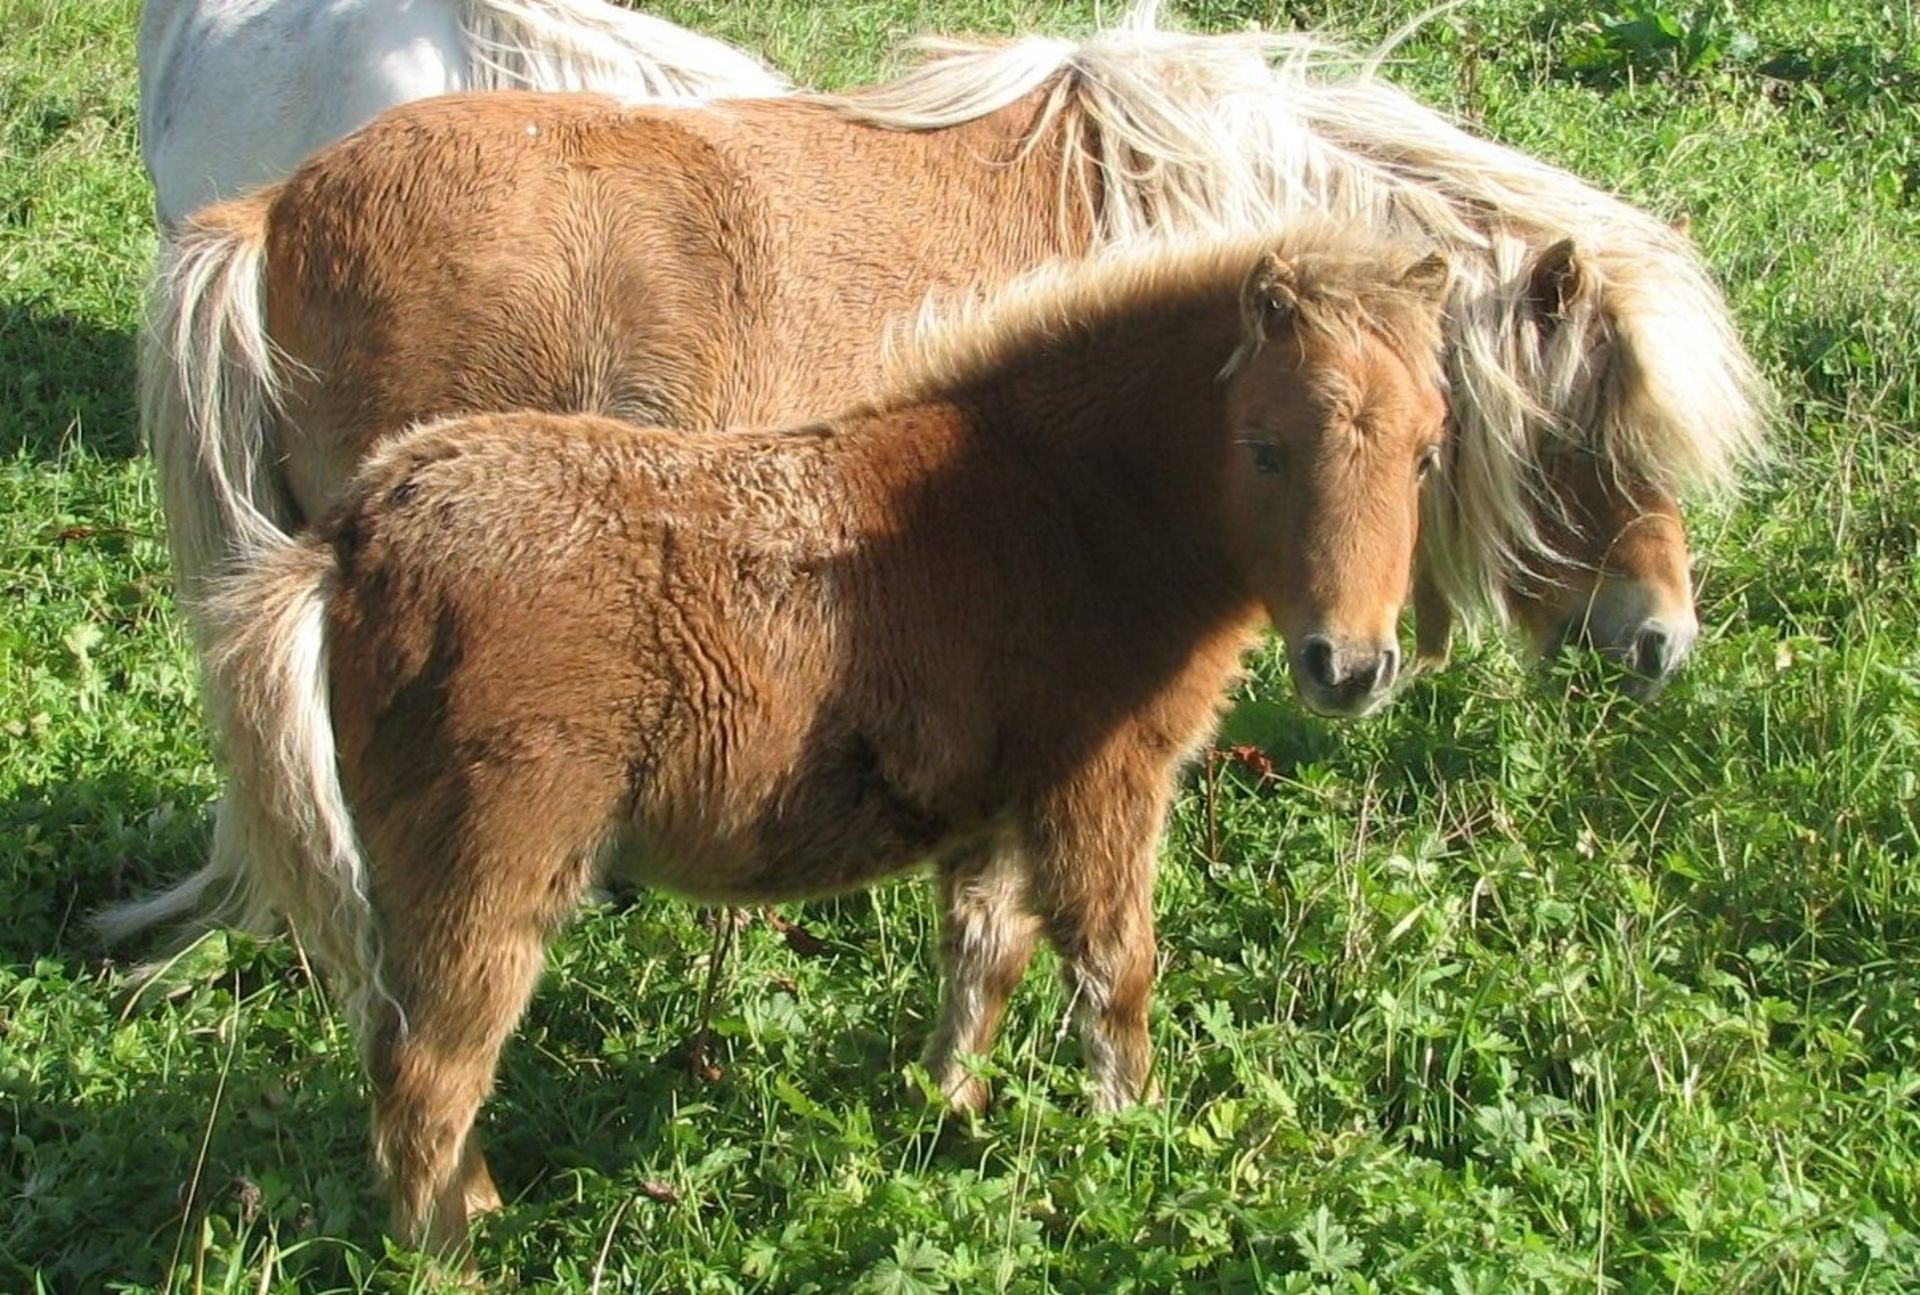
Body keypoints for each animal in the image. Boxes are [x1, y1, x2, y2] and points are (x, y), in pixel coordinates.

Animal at [116, 229, 1443, 1237]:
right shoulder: (1102, 787)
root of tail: (352, 540)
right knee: (428, 1077)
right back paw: (462, 1251)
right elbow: (1114, 974)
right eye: (1265, 445)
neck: (1059, 502)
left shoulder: (992, 810)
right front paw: (1132, 1141)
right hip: (485, 875)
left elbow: (983, 960)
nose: (1350, 666)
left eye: (1429, 449)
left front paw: (947, 1116)